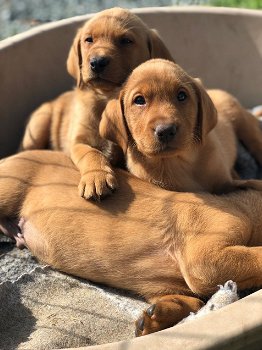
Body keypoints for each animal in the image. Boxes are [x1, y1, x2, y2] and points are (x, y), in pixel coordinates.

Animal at [0, 149, 262, 334]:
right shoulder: (203, 257)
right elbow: (254, 256)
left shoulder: (164, 287)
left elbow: (193, 303)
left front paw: (155, 319)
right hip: (10, 188)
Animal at [20, 7, 172, 200]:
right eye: (89, 40)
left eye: (126, 40)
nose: (97, 62)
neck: (106, 98)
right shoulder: (79, 141)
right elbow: (91, 153)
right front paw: (96, 177)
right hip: (39, 123)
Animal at [100, 58, 262, 193]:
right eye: (139, 100)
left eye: (182, 96)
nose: (166, 131)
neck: (177, 162)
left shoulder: (224, 181)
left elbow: (245, 183)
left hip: (244, 123)